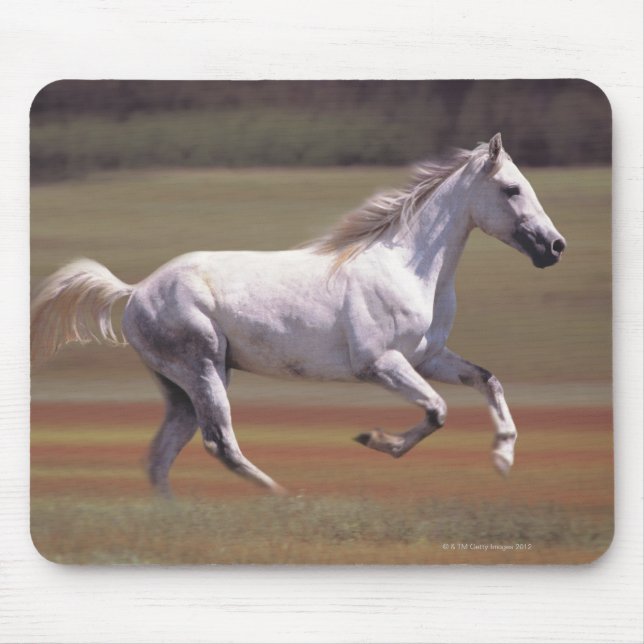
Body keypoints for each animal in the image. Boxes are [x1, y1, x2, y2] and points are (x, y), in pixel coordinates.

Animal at [31, 133, 566, 497]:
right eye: (512, 189)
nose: (555, 247)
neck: (407, 266)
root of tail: (137, 289)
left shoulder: (428, 357)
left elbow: (487, 380)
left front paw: (503, 458)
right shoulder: (380, 364)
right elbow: (436, 410)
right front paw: (373, 439)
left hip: (181, 388)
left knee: (161, 457)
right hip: (204, 370)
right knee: (220, 443)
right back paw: (284, 496)